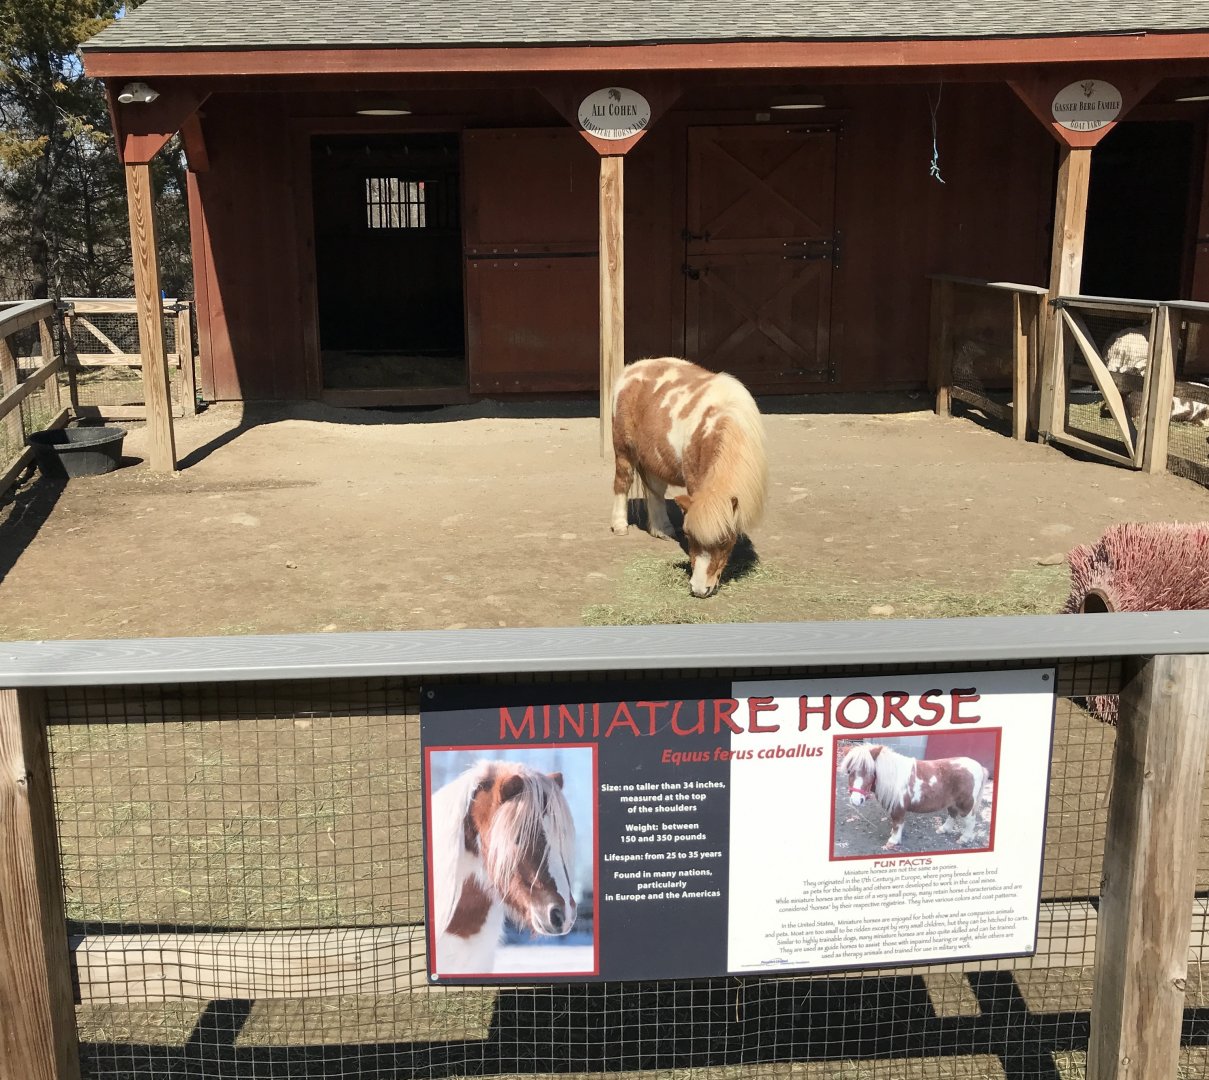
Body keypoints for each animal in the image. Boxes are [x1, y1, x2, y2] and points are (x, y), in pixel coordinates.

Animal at [610, 357, 768, 598]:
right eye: (689, 536)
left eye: (724, 541)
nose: (699, 589)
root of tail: (632, 369)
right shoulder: (695, 481)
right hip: (624, 450)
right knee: (622, 483)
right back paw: (620, 526)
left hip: (656, 458)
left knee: (655, 491)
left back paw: (662, 530)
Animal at [840, 742, 988, 850]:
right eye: (849, 771)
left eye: (871, 772)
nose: (856, 800)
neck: (893, 775)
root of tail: (979, 767)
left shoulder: (898, 808)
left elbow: (897, 824)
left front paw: (893, 841)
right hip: (952, 802)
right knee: (952, 814)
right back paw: (944, 829)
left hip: (966, 804)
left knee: (970, 820)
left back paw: (965, 838)